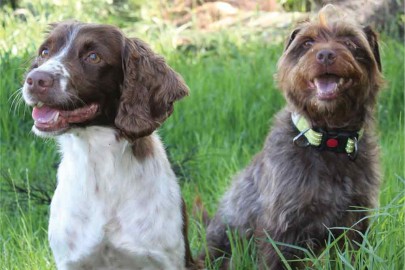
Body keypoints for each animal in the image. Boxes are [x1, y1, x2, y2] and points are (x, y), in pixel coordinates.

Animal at [202, 5, 382, 268]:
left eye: (350, 42)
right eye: (307, 43)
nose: (325, 55)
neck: (328, 140)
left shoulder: (353, 222)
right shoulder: (282, 226)